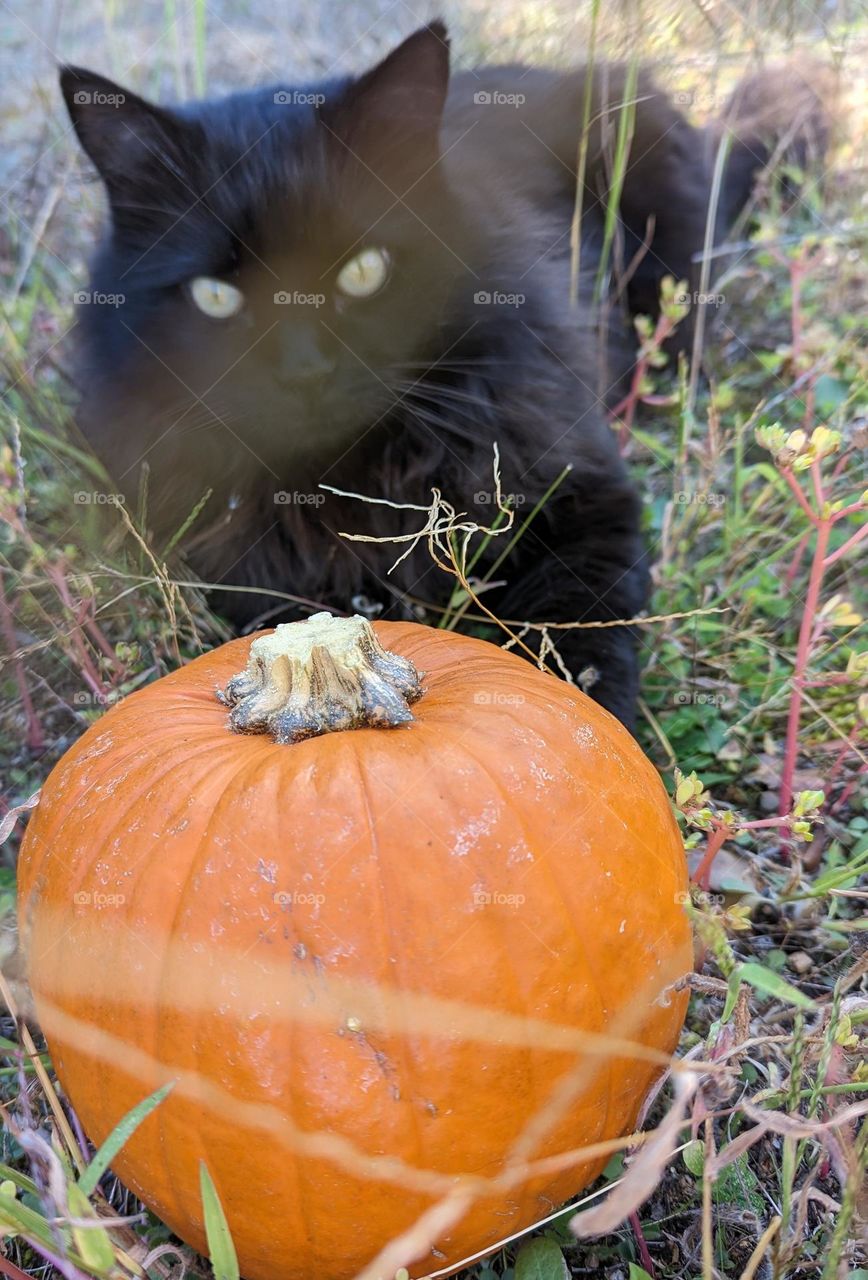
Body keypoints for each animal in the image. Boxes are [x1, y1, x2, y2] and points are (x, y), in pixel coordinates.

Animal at [63, 22, 783, 732]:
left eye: (364, 271)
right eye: (215, 296)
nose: (305, 373)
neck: (348, 476)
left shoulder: (583, 500)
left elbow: (581, 645)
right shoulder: (248, 574)